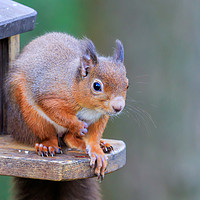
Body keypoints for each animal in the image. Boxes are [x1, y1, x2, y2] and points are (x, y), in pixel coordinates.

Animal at [5, 32, 128, 182]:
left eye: (127, 85)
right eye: (97, 86)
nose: (118, 107)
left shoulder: (101, 116)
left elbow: (94, 137)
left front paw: (96, 151)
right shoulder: (50, 96)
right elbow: (55, 111)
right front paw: (77, 125)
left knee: (67, 138)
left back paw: (98, 144)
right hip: (31, 115)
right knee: (50, 134)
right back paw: (47, 145)